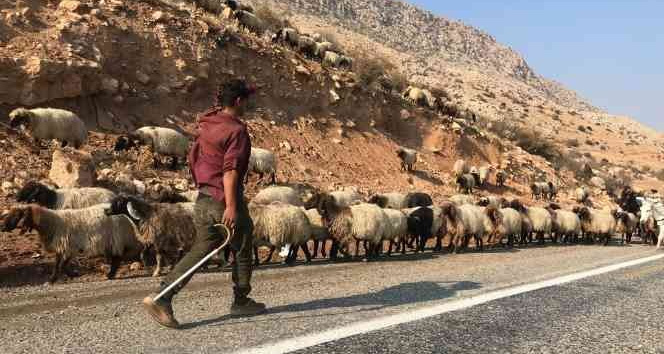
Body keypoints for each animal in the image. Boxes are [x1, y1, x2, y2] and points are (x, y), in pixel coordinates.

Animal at [2, 203, 141, 284]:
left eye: (17, 215)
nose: (2, 227)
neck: (52, 223)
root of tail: (126, 217)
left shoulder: (69, 245)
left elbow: (62, 265)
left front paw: (73, 274)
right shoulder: (64, 247)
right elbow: (58, 264)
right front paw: (53, 279)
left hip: (115, 237)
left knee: (117, 258)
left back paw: (110, 275)